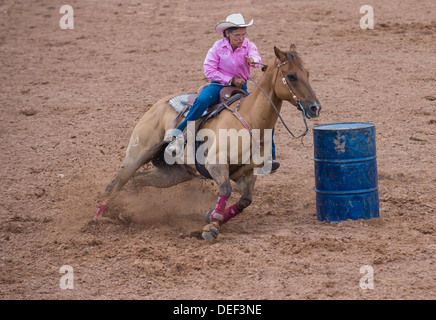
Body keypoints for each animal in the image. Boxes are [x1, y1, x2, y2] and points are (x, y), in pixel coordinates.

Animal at [94, 43, 320, 241]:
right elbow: (226, 190)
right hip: (137, 153)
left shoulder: (248, 174)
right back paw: (99, 218)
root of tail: (157, 105)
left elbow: (244, 201)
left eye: (308, 73)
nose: (315, 108)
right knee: (117, 182)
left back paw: (125, 210)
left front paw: (212, 216)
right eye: (291, 76)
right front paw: (211, 226)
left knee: (137, 180)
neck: (250, 121)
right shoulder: (215, 164)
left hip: (174, 173)